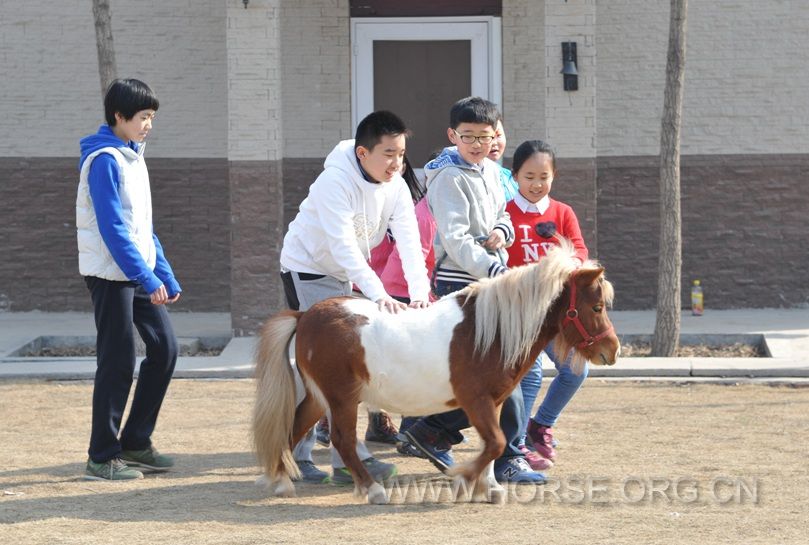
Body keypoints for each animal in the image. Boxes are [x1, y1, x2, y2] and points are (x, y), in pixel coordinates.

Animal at [252, 240, 620, 504]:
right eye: (596, 306)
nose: (612, 350)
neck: (487, 333)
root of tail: (305, 316)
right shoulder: (475, 401)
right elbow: (496, 443)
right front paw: (463, 481)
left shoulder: (494, 402)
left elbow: (493, 444)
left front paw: (489, 488)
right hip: (341, 398)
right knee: (342, 440)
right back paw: (372, 489)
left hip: (320, 398)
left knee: (292, 428)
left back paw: (280, 481)